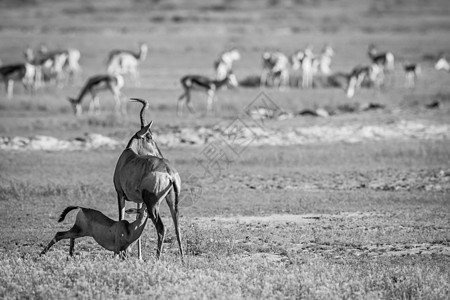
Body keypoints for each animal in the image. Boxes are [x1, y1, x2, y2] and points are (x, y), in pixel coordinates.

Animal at [113, 98, 184, 260]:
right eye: (150, 137)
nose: (160, 154)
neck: (128, 157)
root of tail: (170, 173)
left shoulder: (120, 194)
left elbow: (121, 217)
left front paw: (119, 255)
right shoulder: (139, 201)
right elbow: (138, 220)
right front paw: (137, 256)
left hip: (153, 204)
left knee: (161, 228)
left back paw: (157, 259)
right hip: (171, 200)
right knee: (177, 226)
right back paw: (183, 260)